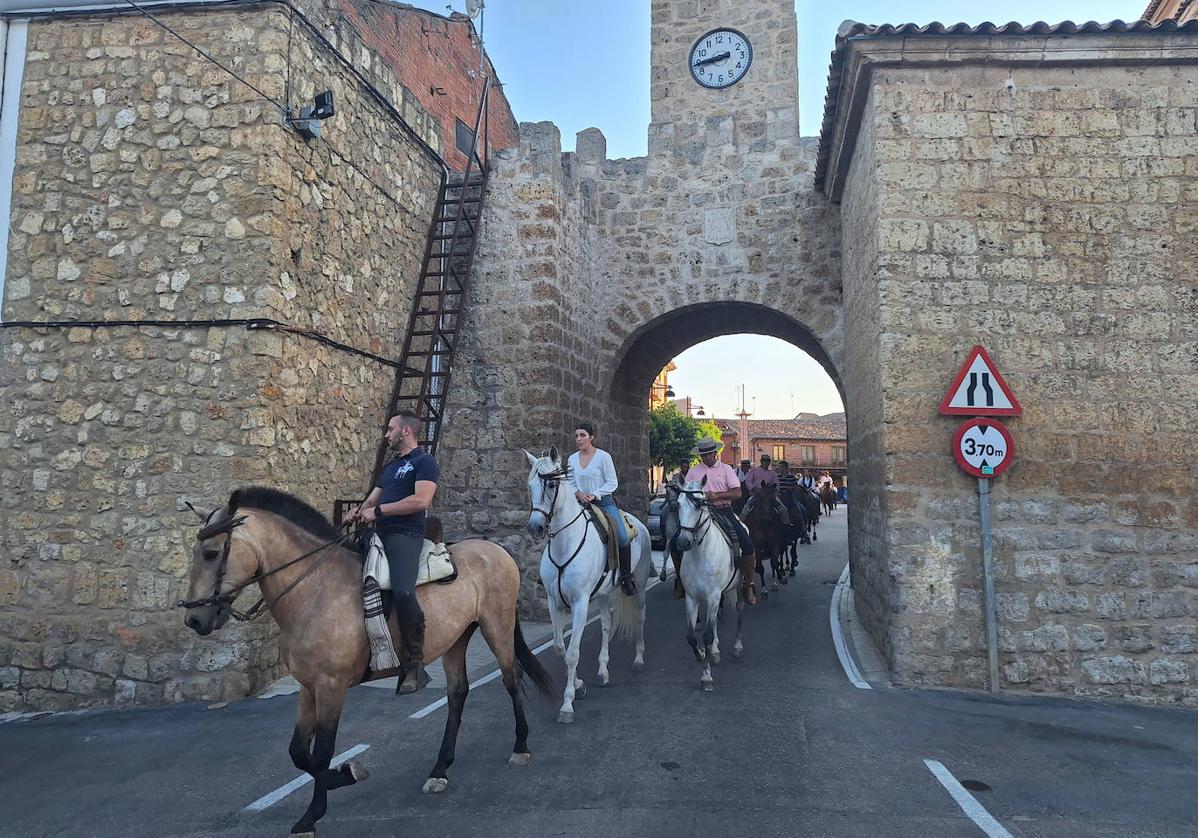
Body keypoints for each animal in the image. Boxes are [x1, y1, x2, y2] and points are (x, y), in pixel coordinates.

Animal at [179, 489, 553, 834]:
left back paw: (520, 746)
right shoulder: (308, 687)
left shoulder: (331, 687)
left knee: (510, 680)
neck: (315, 590)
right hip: (457, 638)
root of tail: (496, 550)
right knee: (458, 693)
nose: (195, 619)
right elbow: (299, 751)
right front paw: (341, 778)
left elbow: (322, 752)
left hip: (497, 627)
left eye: (211, 553)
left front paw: (318, 809)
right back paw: (439, 770)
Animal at [670, 481, 742, 690]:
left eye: (698, 505)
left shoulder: (713, 596)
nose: (683, 542)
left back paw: (737, 647)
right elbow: (691, 636)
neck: (700, 554)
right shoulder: (692, 598)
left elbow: (707, 636)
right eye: (678, 505)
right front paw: (703, 654)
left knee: (739, 610)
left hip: (738, 587)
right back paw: (715, 652)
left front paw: (706, 676)